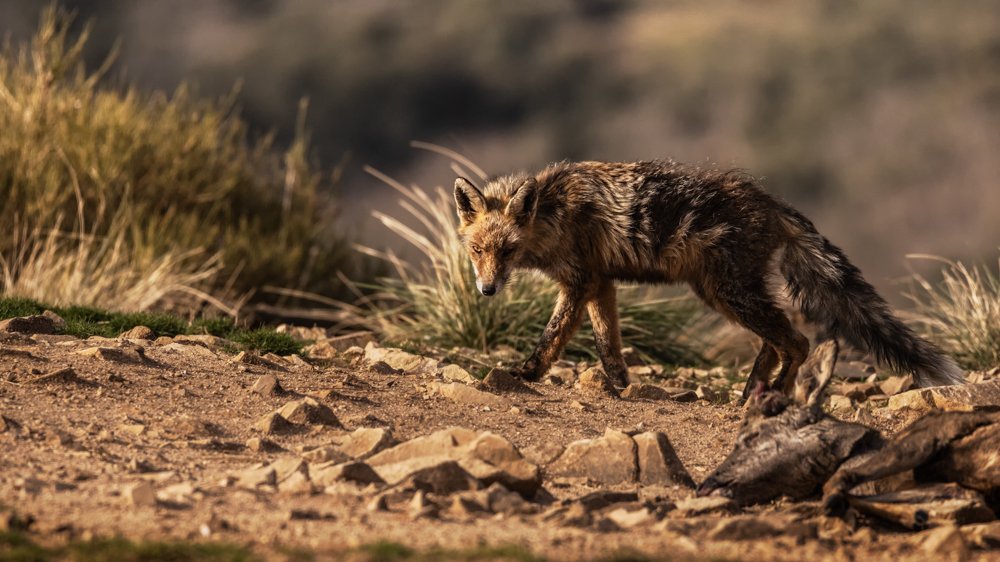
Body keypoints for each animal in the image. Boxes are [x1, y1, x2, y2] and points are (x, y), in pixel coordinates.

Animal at [453, 159, 965, 396]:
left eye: (507, 251)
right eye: (478, 251)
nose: (487, 289)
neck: (554, 212)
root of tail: (770, 201)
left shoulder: (578, 282)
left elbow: (553, 335)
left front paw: (527, 372)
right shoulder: (600, 283)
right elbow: (608, 343)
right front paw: (620, 383)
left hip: (728, 292)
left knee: (797, 342)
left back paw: (775, 394)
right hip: (725, 293)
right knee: (777, 342)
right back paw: (752, 389)